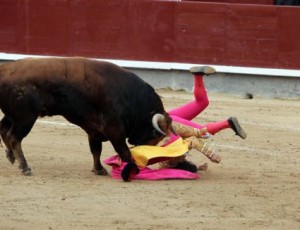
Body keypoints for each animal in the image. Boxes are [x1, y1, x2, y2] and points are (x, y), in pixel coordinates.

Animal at [0, 57, 173, 181]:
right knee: (14, 137)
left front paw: (99, 169)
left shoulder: (94, 129)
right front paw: (132, 168)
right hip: (26, 117)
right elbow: (123, 150)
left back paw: (11, 156)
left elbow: (96, 150)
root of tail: (4, 70)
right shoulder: (114, 129)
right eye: (155, 135)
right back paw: (25, 167)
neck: (131, 98)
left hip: (13, 116)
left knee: (4, 129)